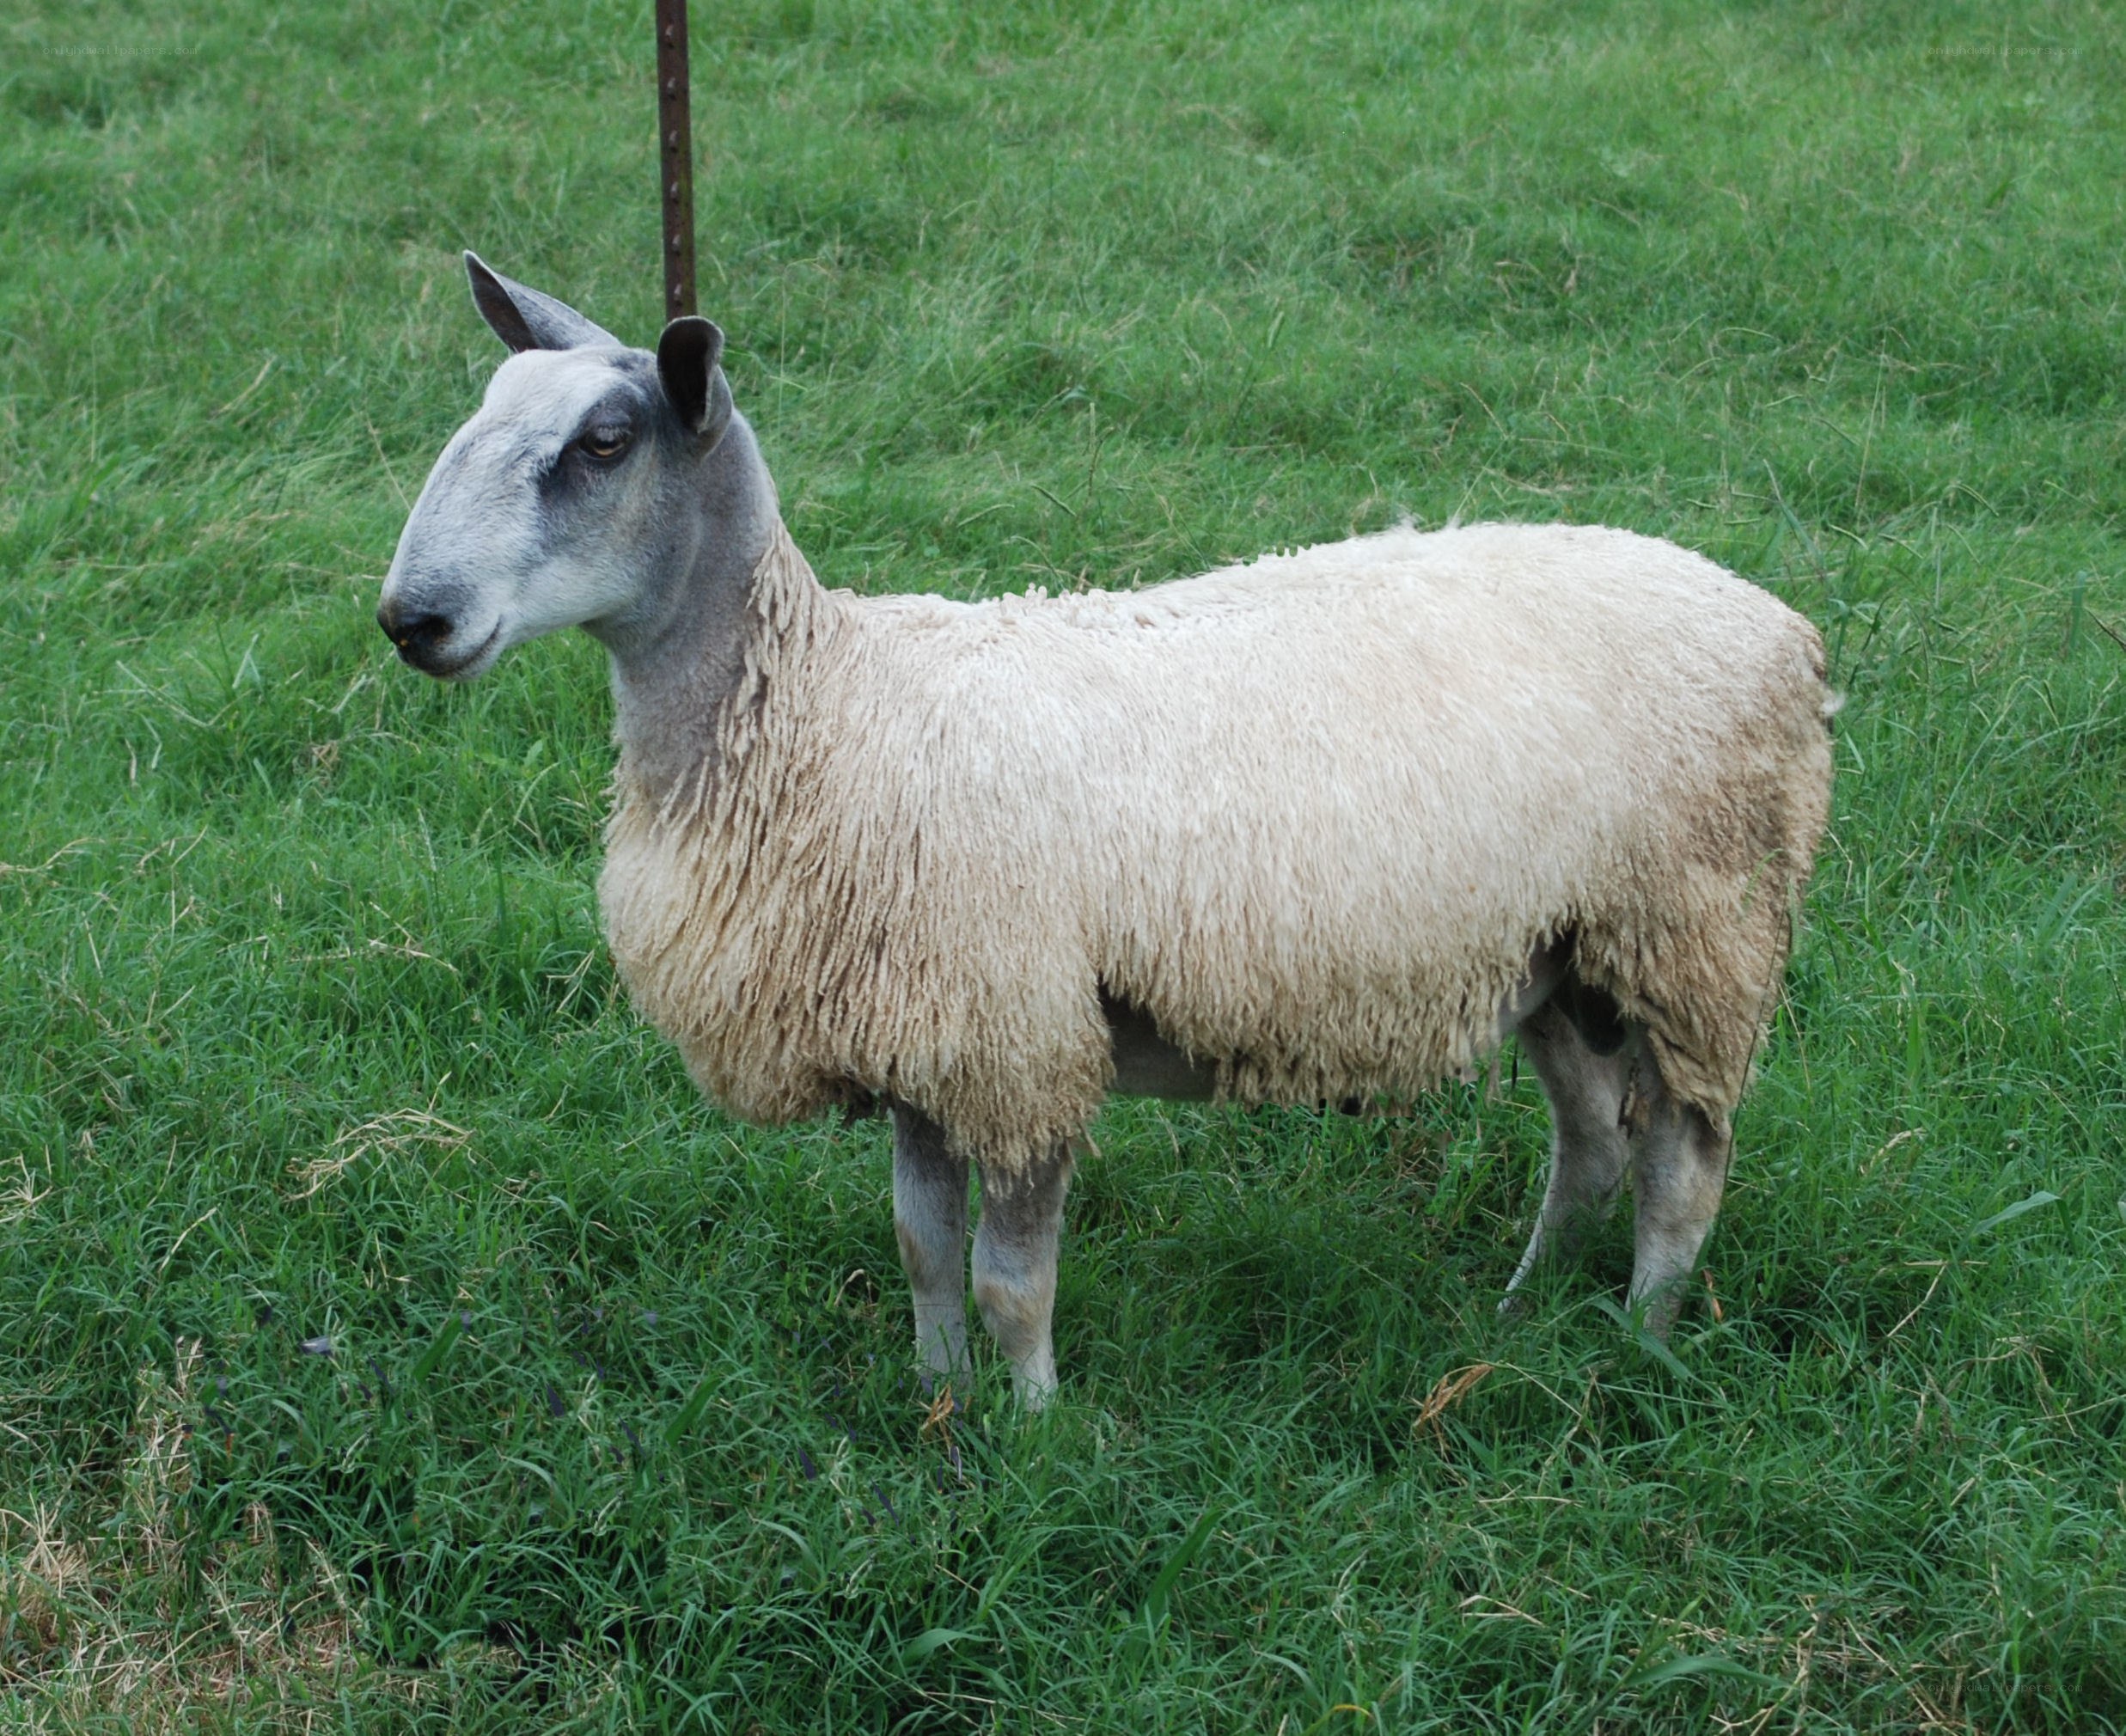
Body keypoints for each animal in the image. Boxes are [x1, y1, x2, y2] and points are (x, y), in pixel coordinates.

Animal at [378, 256, 1835, 1409]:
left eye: (603, 444)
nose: (410, 619)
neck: (828, 715)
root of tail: (1780, 626)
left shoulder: (1019, 1046)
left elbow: (1012, 1279)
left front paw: (1032, 1437)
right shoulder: (923, 1043)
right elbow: (923, 1251)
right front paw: (938, 1407)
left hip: (1697, 927)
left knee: (1681, 1163)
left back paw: (1640, 1342)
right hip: (1559, 947)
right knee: (1590, 1136)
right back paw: (1523, 1309)